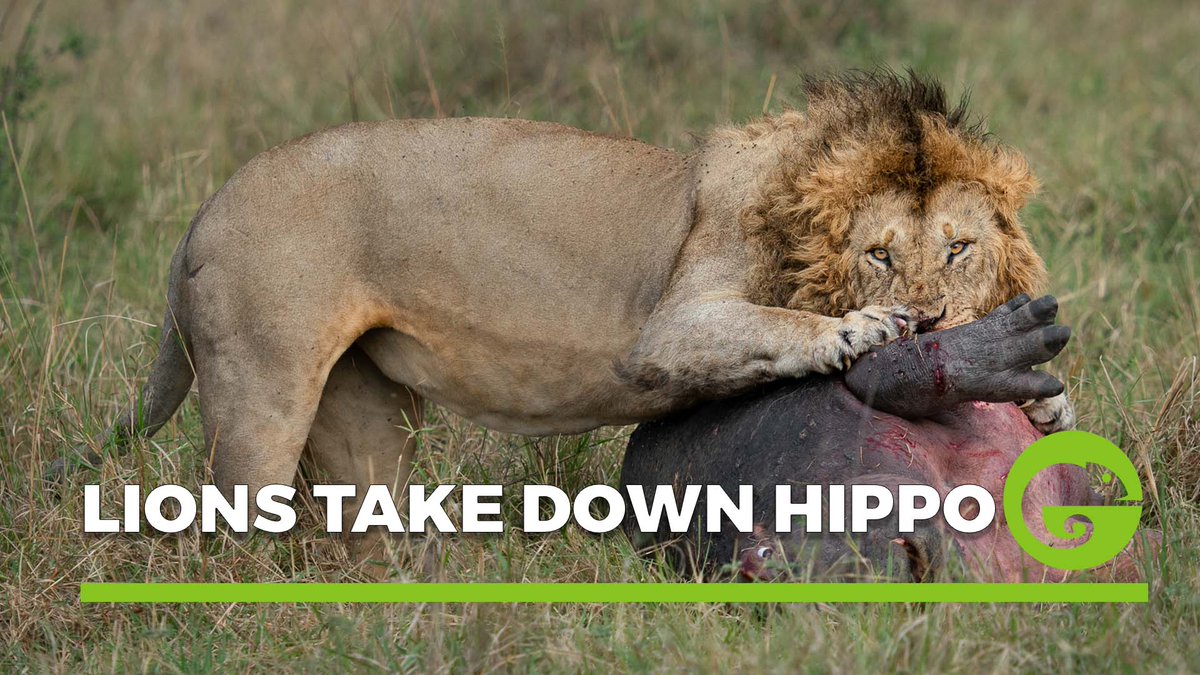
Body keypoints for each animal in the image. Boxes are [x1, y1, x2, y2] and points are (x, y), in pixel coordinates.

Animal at [69, 70, 1072, 533]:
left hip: (361, 419)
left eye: (960, 248)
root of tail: (209, 203)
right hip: (260, 397)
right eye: (878, 254)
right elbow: (782, 323)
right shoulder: (670, 328)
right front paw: (860, 329)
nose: (934, 321)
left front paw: (1051, 404)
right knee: (225, 520)